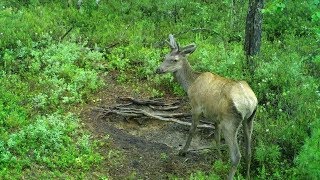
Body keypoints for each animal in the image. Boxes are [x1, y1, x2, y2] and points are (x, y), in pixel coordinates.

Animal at [155, 34, 258, 179]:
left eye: (175, 60)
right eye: (165, 56)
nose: (158, 69)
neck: (190, 85)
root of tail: (249, 102)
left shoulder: (196, 107)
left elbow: (192, 130)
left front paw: (183, 151)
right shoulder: (216, 118)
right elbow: (216, 138)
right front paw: (219, 160)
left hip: (230, 123)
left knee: (236, 156)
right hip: (249, 119)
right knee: (249, 151)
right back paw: (248, 175)